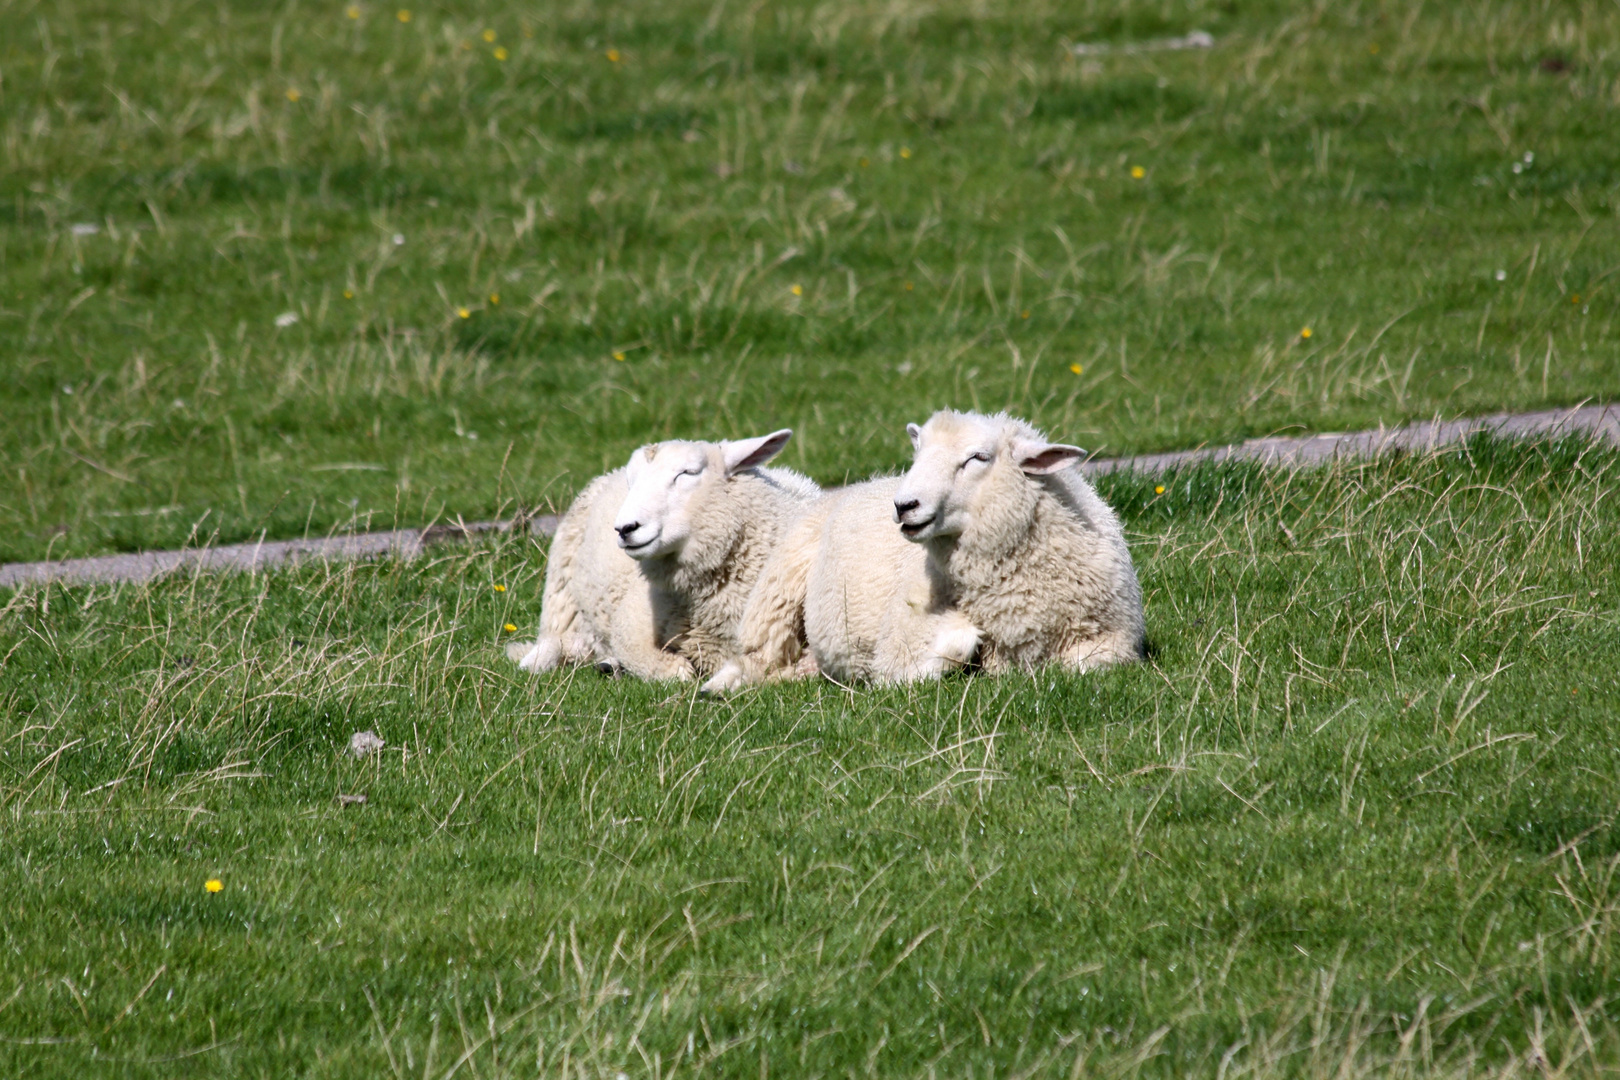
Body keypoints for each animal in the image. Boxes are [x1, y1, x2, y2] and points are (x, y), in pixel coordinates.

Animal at [505, 427, 816, 676]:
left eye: (688, 473)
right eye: (632, 482)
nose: (625, 528)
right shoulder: (631, 621)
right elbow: (672, 671)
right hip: (562, 596)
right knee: (559, 640)